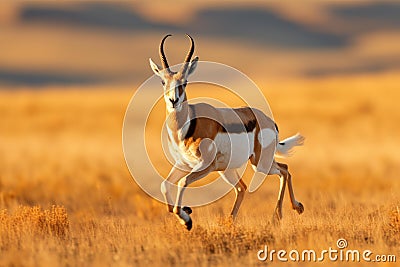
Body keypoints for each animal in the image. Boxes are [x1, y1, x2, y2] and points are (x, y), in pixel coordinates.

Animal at [149, 33, 304, 231]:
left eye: (185, 81)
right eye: (163, 81)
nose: (173, 100)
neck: (188, 125)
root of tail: (270, 121)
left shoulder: (206, 166)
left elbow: (182, 182)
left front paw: (187, 220)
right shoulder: (184, 164)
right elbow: (164, 185)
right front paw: (187, 213)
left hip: (259, 164)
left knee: (284, 170)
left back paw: (282, 215)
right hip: (227, 169)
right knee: (243, 187)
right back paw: (233, 221)